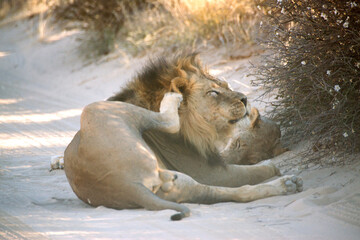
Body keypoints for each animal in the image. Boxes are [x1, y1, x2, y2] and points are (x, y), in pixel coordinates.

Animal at [65, 93, 304, 220]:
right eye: (238, 143)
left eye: (250, 156)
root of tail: (125, 185)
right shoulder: (213, 170)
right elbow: (254, 171)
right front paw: (273, 168)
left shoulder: (214, 170)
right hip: (103, 109)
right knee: (168, 122)